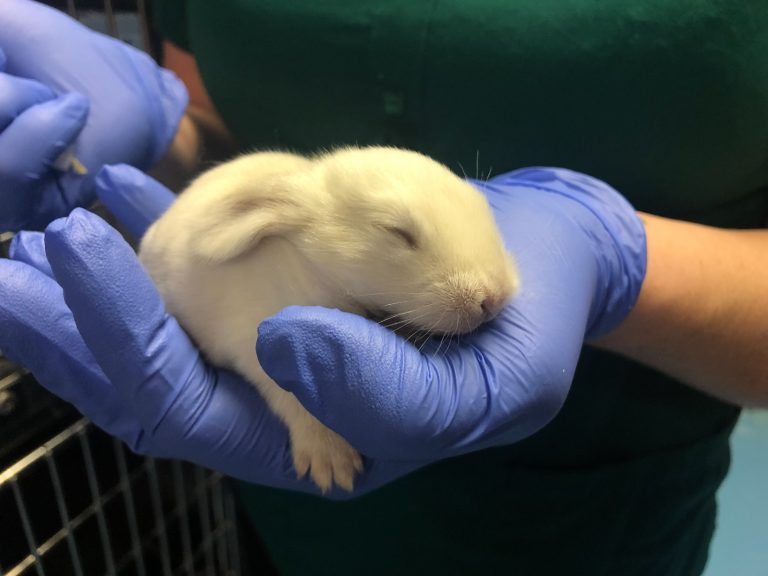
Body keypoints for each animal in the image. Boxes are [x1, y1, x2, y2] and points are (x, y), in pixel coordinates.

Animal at [138, 146, 519, 492]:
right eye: (397, 232)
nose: (494, 297)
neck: (312, 272)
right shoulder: (255, 337)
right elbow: (290, 394)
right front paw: (332, 463)